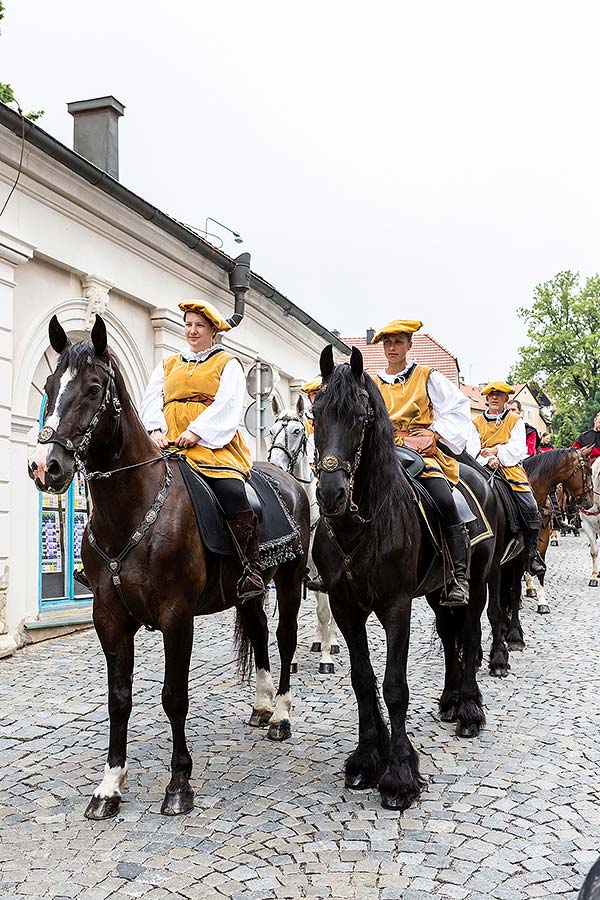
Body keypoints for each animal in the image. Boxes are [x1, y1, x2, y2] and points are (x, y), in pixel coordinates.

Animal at [28, 318, 310, 824]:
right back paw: (261, 707)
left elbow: (173, 695)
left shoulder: (176, 618)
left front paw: (179, 783)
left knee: (284, 639)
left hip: (291, 580)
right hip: (251, 589)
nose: (46, 467)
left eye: (94, 388)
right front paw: (109, 786)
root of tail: (290, 480)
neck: (133, 509)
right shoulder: (109, 619)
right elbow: (119, 698)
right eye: (49, 387)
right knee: (259, 633)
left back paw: (279, 715)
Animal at [270, 398, 340, 672]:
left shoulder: (325, 571)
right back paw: (318, 641)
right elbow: (294, 614)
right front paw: (291, 661)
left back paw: (331, 643)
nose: (276, 466)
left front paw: (326, 659)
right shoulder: (295, 572)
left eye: (297, 431)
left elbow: (324, 612)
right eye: (270, 431)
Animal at [312, 348, 494, 812]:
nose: (330, 494)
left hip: (476, 585)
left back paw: (469, 711)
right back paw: (450, 702)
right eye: (315, 413)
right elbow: (362, 679)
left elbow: (394, 685)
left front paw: (398, 775)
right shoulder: (345, 606)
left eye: (360, 418)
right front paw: (367, 758)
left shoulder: (396, 605)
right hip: (436, 593)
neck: (362, 526)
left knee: (468, 635)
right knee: (449, 636)